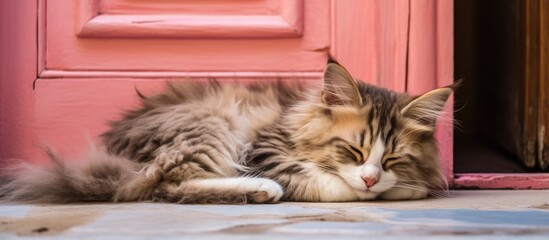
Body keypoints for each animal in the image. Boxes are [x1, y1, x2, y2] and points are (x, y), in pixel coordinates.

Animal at [0, 59, 454, 203]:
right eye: (353, 152)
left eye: (391, 158)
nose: (371, 177)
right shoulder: (266, 148)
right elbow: (332, 186)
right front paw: (368, 190)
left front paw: (399, 186)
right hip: (211, 124)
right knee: (166, 184)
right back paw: (261, 189)